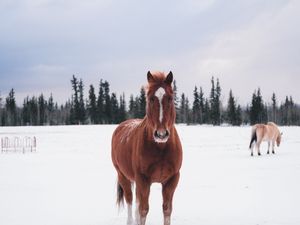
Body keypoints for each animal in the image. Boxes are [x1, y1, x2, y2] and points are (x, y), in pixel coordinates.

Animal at [110, 71, 183, 225]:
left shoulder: (172, 180)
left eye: (170, 98)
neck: (161, 148)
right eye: (150, 99)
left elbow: (167, 210)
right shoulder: (143, 180)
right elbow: (143, 210)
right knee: (130, 200)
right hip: (123, 176)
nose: (161, 134)